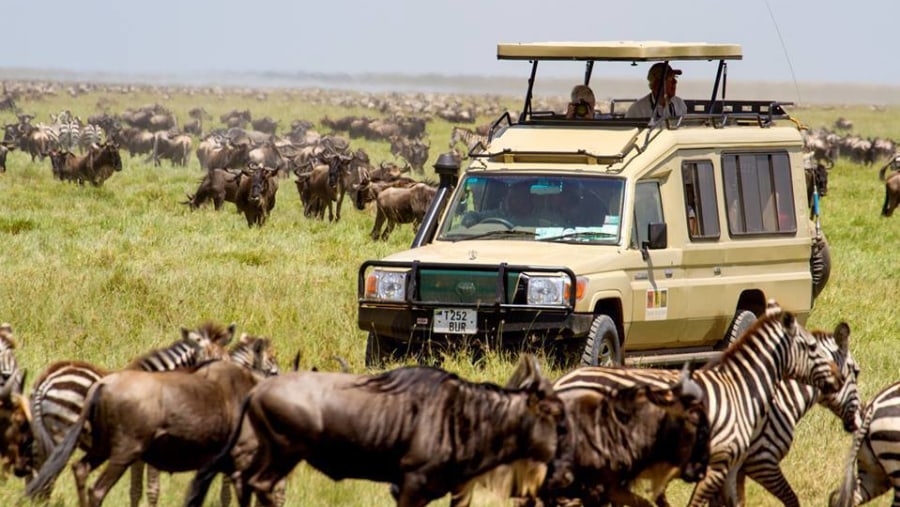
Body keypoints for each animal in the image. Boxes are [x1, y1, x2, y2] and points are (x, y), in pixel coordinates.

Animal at [548, 302, 852, 507]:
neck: (745, 388)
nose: (838, 379)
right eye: (855, 372)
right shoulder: (756, 460)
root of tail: (561, 383)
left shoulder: (734, 467)